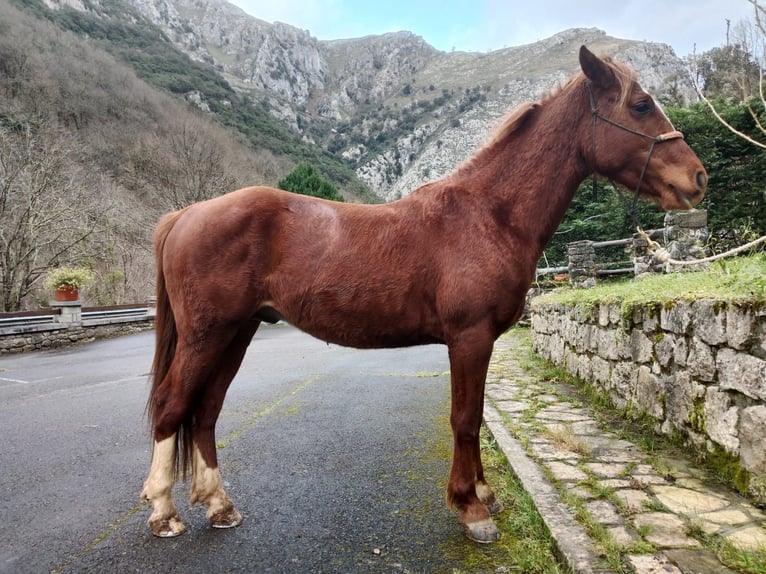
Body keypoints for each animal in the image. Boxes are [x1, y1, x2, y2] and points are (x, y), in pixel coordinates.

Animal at [142, 46, 708, 544]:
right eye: (641, 105)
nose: (697, 178)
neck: (488, 215)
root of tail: (186, 215)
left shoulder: (480, 341)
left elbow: (473, 416)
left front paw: (483, 493)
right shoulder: (469, 338)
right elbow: (465, 418)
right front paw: (472, 508)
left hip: (236, 334)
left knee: (206, 411)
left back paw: (220, 507)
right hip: (206, 335)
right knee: (172, 405)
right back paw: (164, 512)